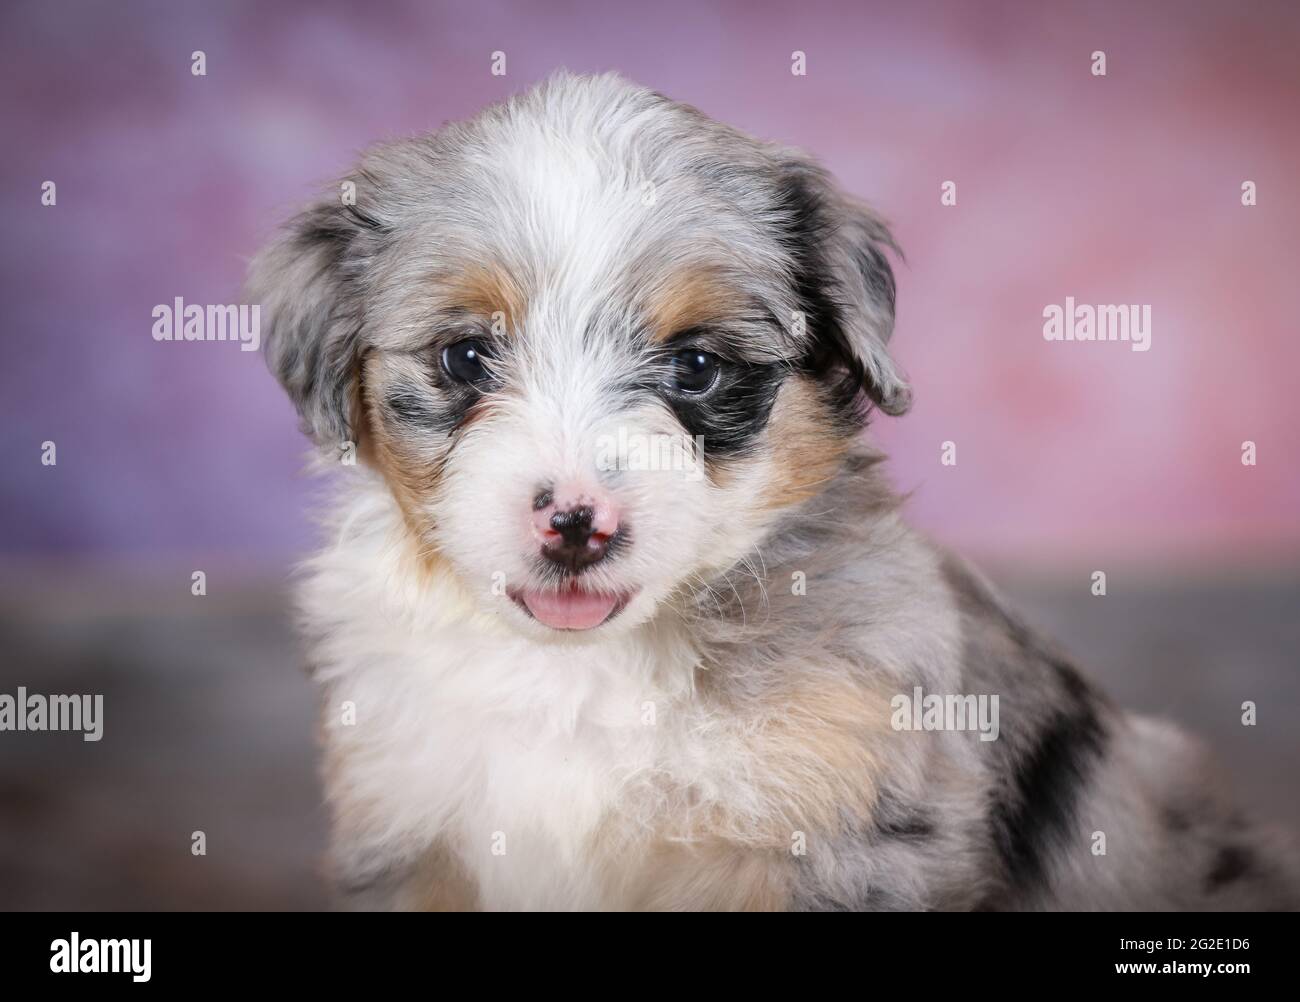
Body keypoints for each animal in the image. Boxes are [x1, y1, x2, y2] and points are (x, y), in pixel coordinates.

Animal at [248, 70, 1294, 909]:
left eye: (698, 366)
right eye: (465, 357)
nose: (578, 523)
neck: (587, 673)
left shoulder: (847, 841)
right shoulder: (410, 828)